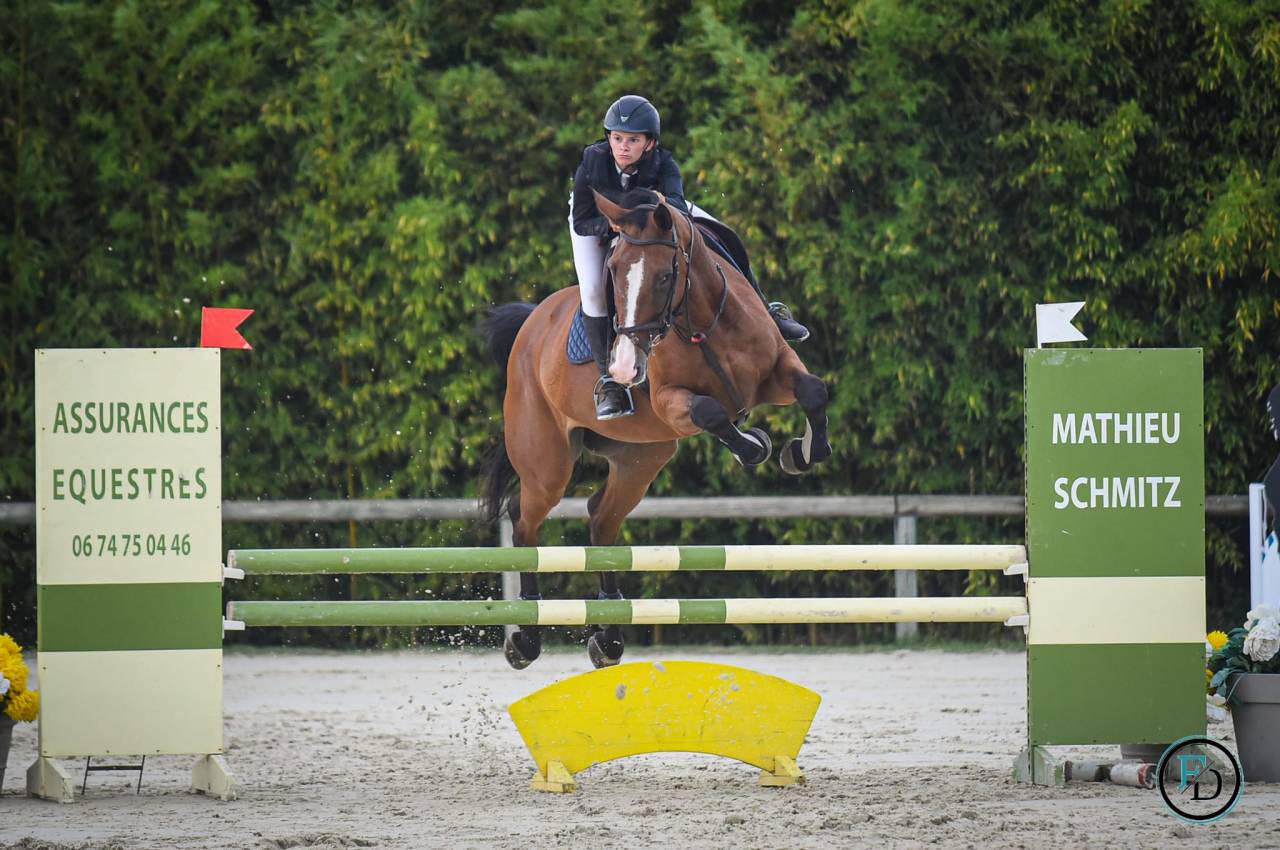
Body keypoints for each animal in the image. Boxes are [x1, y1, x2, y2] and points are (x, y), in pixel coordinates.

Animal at [480, 187, 832, 669]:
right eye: (612, 275)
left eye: (666, 276)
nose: (626, 369)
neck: (703, 324)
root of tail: (532, 323)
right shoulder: (671, 403)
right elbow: (714, 414)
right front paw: (756, 444)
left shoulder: (776, 370)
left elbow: (813, 391)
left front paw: (801, 453)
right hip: (547, 464)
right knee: (524, 519)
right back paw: (526, 638)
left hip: (640, 458)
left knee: (601, 519)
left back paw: (607, 635)